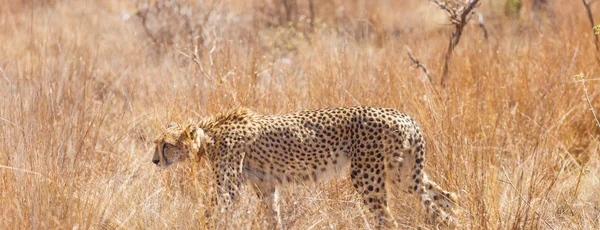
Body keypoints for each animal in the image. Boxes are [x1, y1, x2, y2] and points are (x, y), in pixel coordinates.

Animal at [152, 106, 458, 228]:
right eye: (156, 143)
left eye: (165, 145)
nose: (155, 160)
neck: (209, 136)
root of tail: (405, 116)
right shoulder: (266, 185)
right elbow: (272, 216)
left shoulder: (227, 189)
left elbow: (211, 213)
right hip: (403, 175)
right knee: (448, 199)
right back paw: (456, 220)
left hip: (367, 177)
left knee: (388, 219)